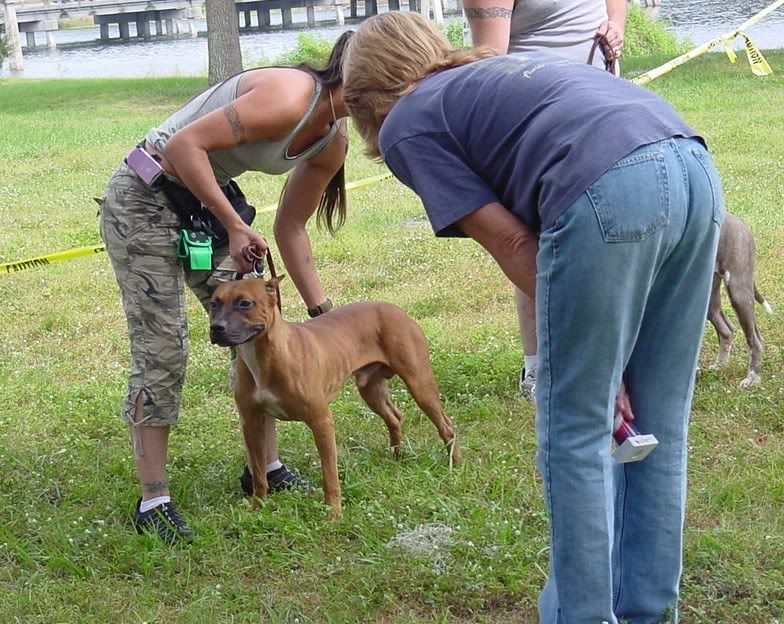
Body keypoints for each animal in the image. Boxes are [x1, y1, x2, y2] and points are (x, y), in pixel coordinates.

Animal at [208, 276, 460, 516]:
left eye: (245, 303)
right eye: (214, 303)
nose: (216, 327)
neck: (263, 354)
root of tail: (395, 309)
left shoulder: (321, 423)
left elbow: (329, 476)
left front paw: (334, 514)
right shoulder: (251, 424)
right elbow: (259, 474)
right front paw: (257, 509)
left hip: (420, 385)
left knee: (446, 424)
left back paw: (454, 463)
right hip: (372, 391)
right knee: (394, 417)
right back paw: (397, 455)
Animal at [704, 217, 772, 388]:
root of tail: (742, 224)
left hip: (739, 292)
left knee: (755, 340)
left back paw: (752, 377)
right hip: (709, 301)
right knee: (726, 329)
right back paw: (720, 365)